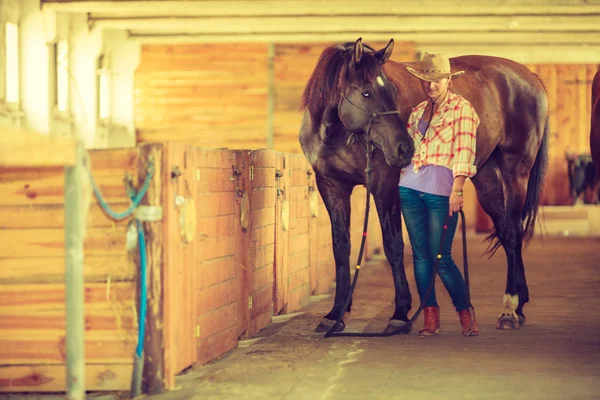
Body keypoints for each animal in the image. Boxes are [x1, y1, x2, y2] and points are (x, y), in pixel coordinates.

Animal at [300, 38, 548, 332]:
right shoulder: (331, 187)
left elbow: (393, 245)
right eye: (367, 93)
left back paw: (509, 309)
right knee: (507, 231)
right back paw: (518, 306)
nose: (404, 148)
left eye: (392, 90)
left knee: (511, 233)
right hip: (486, 178)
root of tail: (530, 77)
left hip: (514, 173)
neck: (338, 134)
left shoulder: (384, 184)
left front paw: (400, 313)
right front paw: (335, 314)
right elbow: (341, 247)